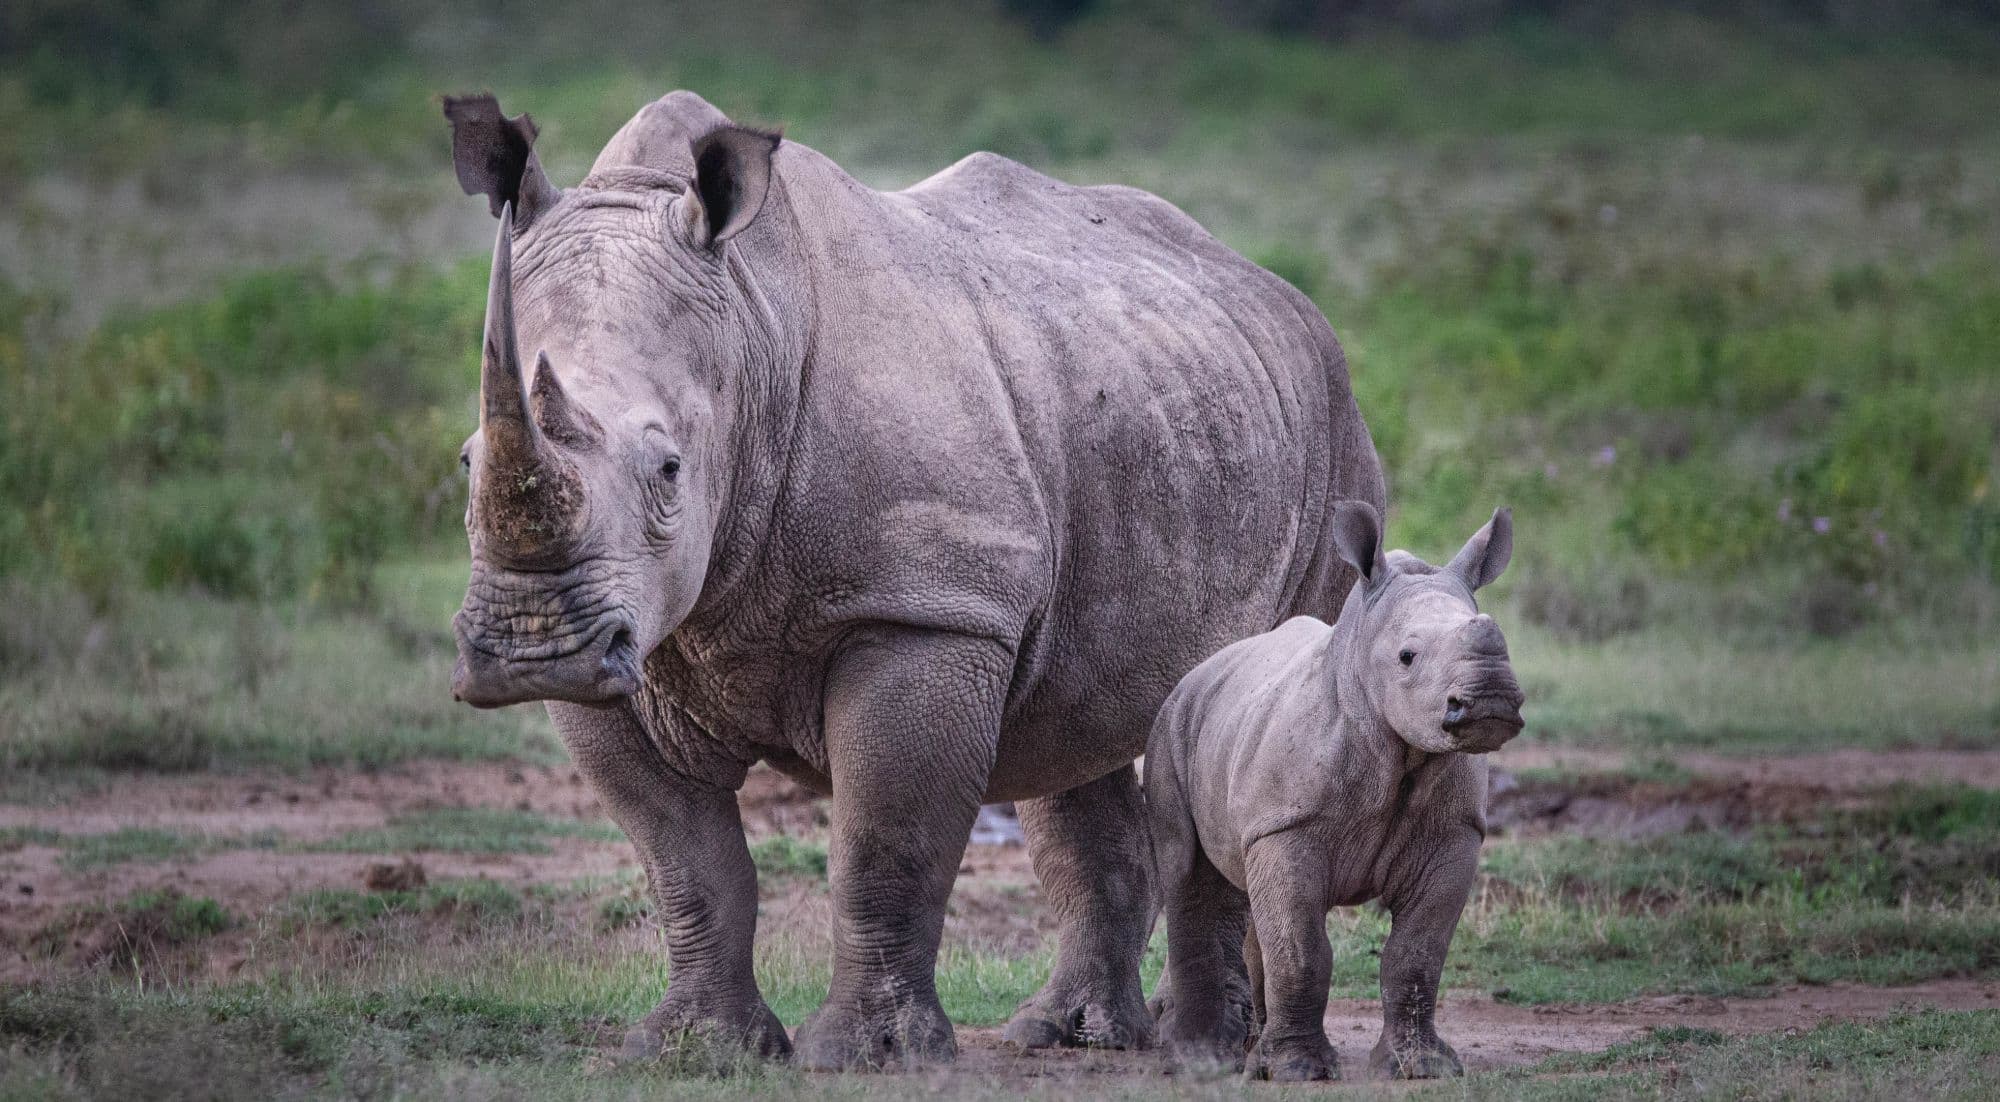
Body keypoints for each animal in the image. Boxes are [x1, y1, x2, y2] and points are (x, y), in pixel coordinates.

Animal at [440, 89, 1385, 1069]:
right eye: (466, 461)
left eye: (668, 469)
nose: (531, 651)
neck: (750, 324)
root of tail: (1279, 293)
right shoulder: (631, 642)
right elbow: (686, 859)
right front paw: (696, 1047)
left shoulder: (931, 611)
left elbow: (883, 842)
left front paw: (868, 1055)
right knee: (1075, 727)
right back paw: (1071, 1033)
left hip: (1333, 439)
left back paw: (1218, 1046)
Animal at [1145, 502, 1523, 1081]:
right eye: (1407, 657)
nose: (1490, 700)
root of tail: (1202, 671)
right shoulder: (1287, 826)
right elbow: (1302, 950)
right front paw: (1300, 1071)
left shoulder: (1454, 833)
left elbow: (1418, 952)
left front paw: (1421, 1068)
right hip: (1173, 725)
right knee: (1189, 877)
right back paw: (1201, 1058)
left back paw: (1250, 1051)